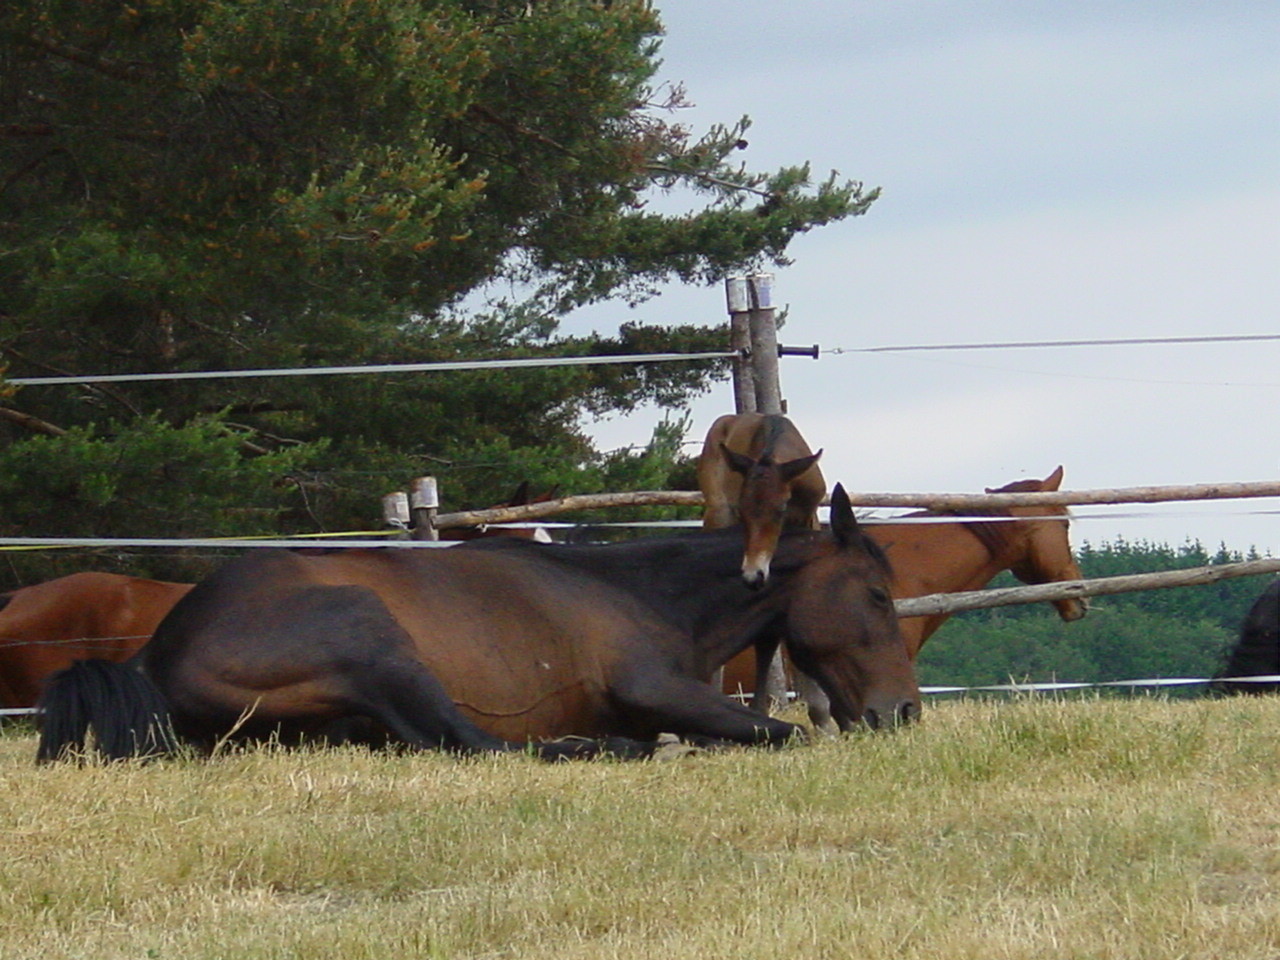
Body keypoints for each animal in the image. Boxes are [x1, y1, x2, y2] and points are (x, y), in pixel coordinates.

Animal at [37, 488, 921, 768]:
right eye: (879, 595)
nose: (905, 711)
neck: (636, 592)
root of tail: (154, 655)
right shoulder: (655, 689)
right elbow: (778, 731)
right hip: (375, 643)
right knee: (479, 746)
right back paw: (603, 749)